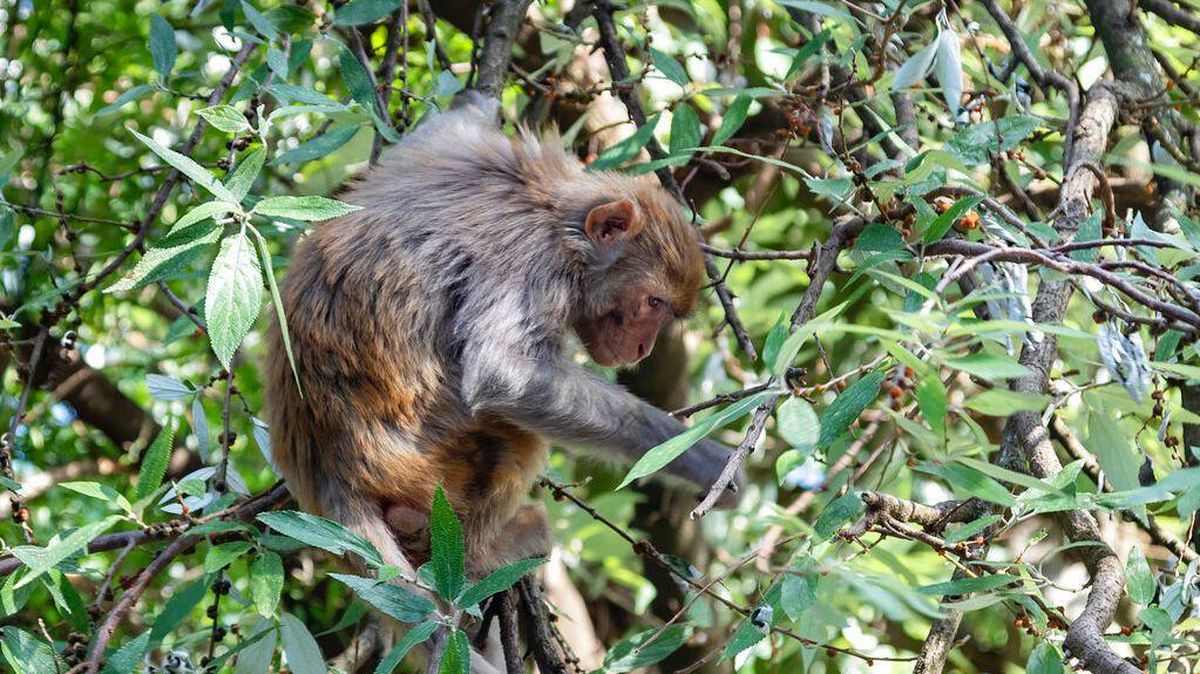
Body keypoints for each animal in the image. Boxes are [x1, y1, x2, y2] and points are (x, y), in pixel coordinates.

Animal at [265, 89, 739, 582]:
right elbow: (502, 375)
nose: (643, 347)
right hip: (433, 468)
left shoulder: (451, 153)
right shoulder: (534, 264)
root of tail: (330, 474)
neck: (553, 211)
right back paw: (487, 553)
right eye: (653, 303)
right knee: (518, 437)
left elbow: (435, 136)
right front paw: (696, 456)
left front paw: (475, 100)